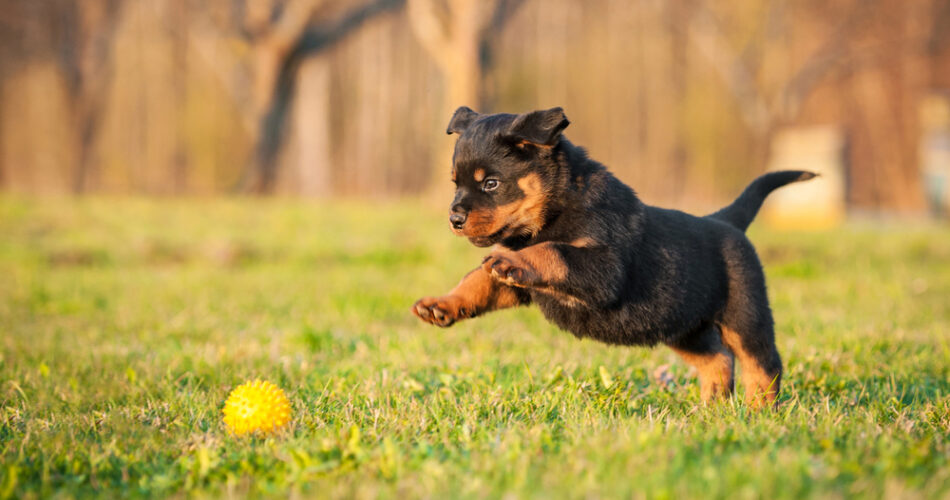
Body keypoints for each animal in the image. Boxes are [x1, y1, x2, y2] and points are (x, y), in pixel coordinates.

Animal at [410, 105, 820, 406]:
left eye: (491, 183)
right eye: (455, 183)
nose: (454, 218)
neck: (555, 209)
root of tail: (725, 220)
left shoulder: (603, 269)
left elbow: (552, 250)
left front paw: (517, 258)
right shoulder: (519, 286)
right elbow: (478, 280)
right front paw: (442, 304)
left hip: (745, 316)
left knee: (762, 365)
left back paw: (758, 413)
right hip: (683, 325)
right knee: (717, 359)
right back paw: (712, 409)